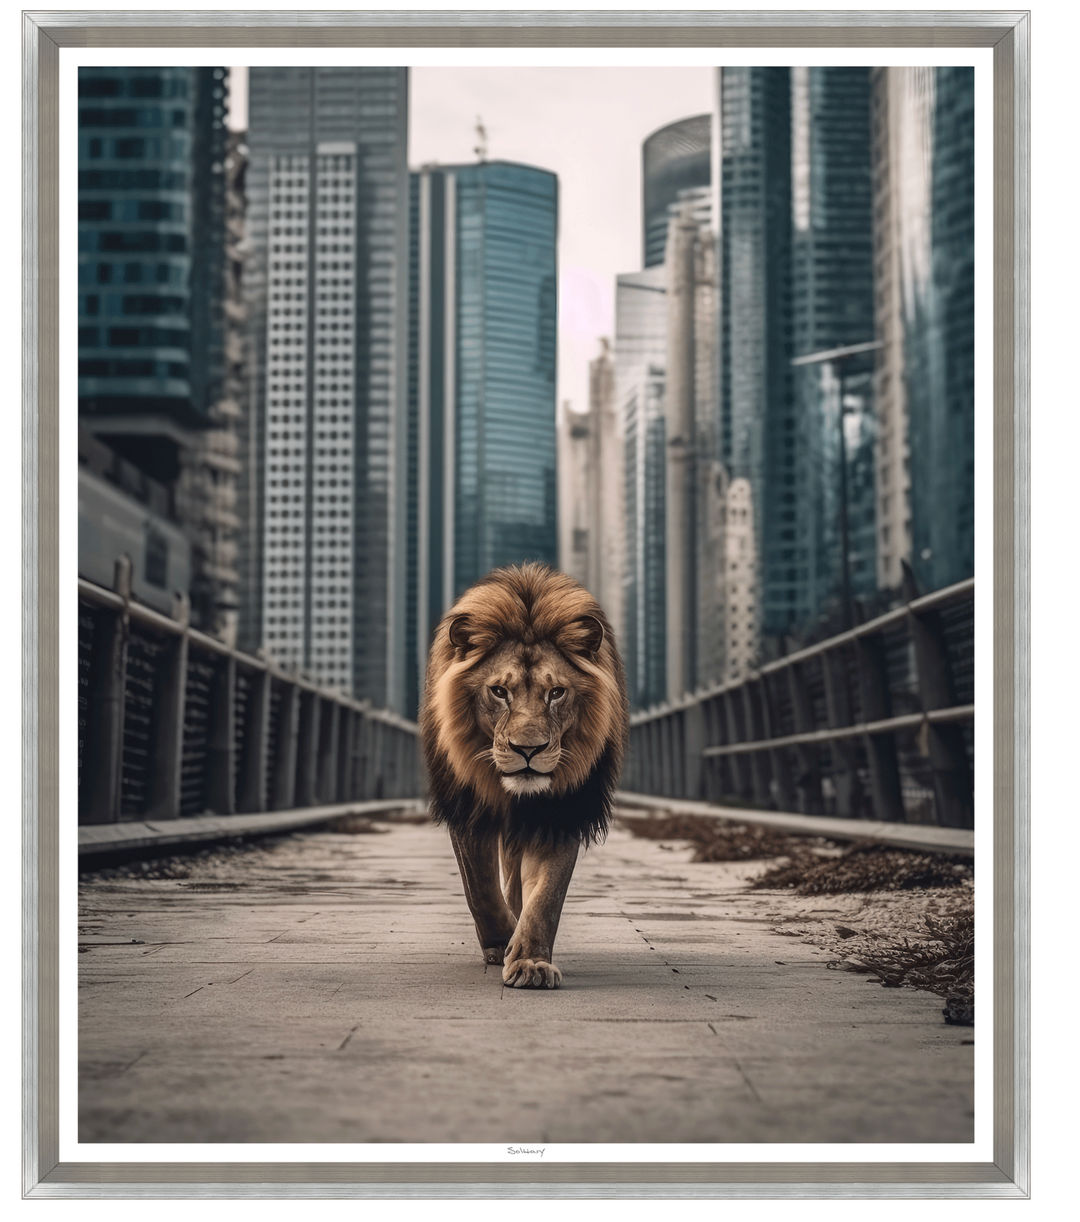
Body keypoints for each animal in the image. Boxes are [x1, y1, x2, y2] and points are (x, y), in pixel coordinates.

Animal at [420, 563, 629, 989]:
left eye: (557, 693)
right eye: (499, 692)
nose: (527, 750)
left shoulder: (560, 811)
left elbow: (546, 896)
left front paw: (530, 960)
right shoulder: (469, 805)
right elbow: (480, 887)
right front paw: (501, 942)